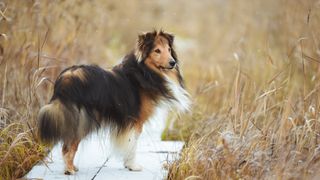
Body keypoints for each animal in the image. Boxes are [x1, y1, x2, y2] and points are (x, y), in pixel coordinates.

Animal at [37, 30, 190, 175]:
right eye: (157, 50)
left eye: (169, 49)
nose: (172, 63)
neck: (143, 71)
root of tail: (65, 79)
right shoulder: (136, 121)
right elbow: (132, 144)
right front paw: (132, 166)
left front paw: (128, 165)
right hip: (83, 120)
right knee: (68, 147)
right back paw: (69, 169)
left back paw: (72, 167)